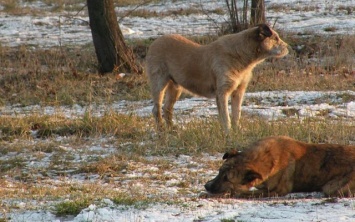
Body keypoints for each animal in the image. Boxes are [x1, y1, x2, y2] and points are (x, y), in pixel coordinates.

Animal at [147, 24, 290, 132]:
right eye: (276, 38)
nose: (288, 47)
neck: (240, 55)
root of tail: (155, 42)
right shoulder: (222, 92)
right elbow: (225, 116)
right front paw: (228, 134)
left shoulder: (238, 91)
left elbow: (236, 114)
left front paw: (237, 132)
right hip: (159, 83)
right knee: (156, 109)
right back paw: (161, 131)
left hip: (175, 87)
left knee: (167, 109)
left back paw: (172, 130)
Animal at [204, 135, 355, 198]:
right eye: (219, 172)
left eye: (226, 179)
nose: (206, 186)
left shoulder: (277, 191)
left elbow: (243, 192)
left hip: (332, 187)